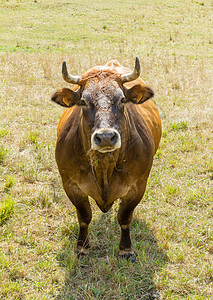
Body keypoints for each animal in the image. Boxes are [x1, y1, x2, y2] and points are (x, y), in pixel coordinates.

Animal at [51, 58, 161, 260]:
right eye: (83, 101)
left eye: (123, 99)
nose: (106, 137)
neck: (104, 167)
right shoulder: (70, 184)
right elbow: (84, 217)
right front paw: (82, 247)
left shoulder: (138, 186)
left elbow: (124, 218)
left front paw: (125, 249)